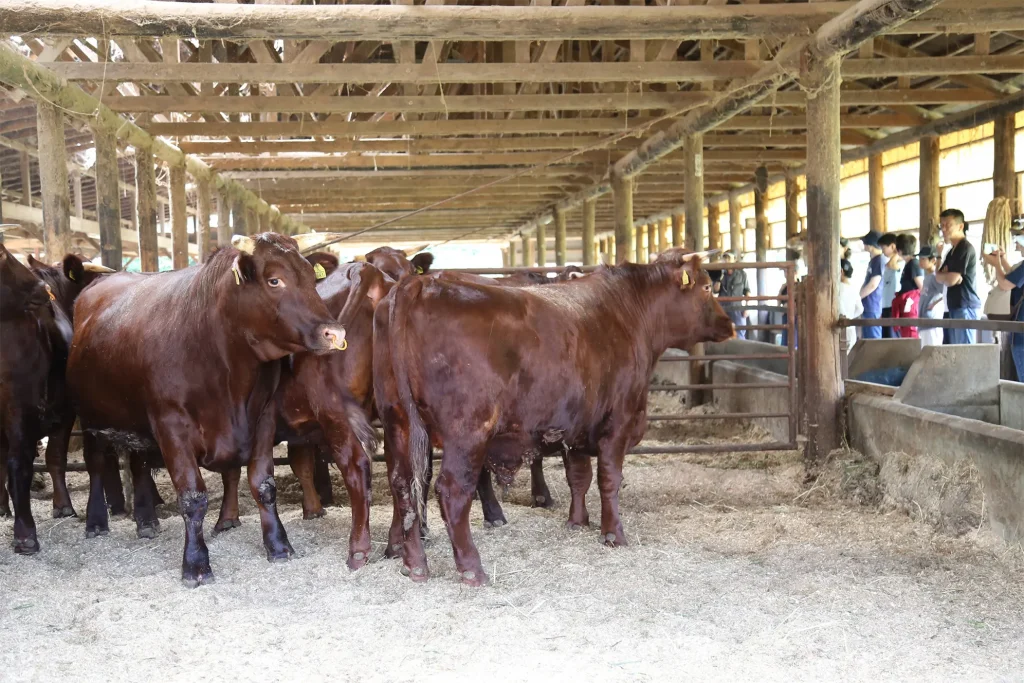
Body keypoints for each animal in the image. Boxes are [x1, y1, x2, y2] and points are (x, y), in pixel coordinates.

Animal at [69, 235, 348, 589]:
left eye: (312, 278)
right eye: (274, 280)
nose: (335, 333)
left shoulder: (263, 418)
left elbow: (263, 484)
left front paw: (278, 544)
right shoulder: (171, 425)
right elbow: (192, 497)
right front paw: (196, 564)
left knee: (138, 464)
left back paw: (146, 521)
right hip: (90, 416)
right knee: (95, 465)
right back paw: (95, 522)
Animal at [376, 248, 737, 585]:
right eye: (707, 287)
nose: (730, 324)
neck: (626, 313)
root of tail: (420, 284)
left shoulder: (577, 427)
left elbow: (579, 477)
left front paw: (577, 521)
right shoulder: (617, 422)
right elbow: (609, 479)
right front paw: (613, 534)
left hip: (398, 426)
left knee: (403, 487)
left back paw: (414, 563)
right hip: (467, 431)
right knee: (452, 492)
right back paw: (471, 568)